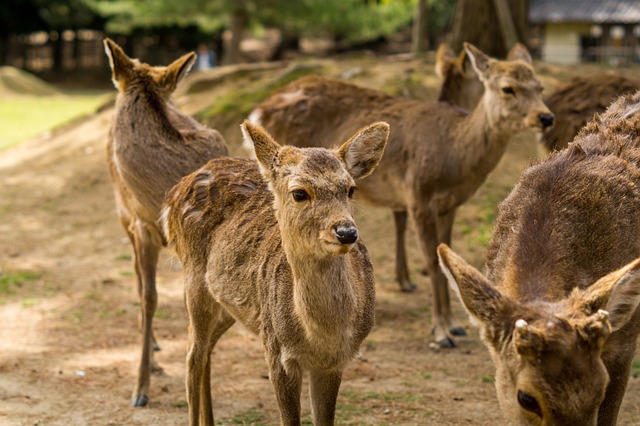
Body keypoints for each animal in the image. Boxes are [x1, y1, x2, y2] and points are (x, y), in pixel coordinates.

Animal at [162, 120, 388, 426]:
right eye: (299, 192)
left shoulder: (335, 362)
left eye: (350, 189)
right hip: (193, 279)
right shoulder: (277, 353)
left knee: (204, 346)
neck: (322, 338)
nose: (346, 232)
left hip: (232, 306)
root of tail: (175, 192)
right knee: (192, 355)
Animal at [250, 41, 556, 348]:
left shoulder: (450, 205)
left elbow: (444, 253)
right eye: (508, 88)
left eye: (540, 86)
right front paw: (441, 332)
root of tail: (259, 110)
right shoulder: (418, 196)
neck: (456, 158)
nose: (546, 117)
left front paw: (454, 325)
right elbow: (431, 260)